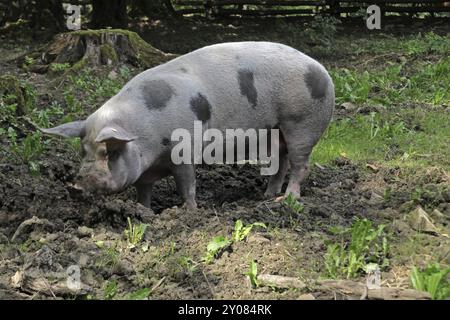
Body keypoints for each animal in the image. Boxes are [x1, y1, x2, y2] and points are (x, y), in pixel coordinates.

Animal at [41, 42, 334, 210]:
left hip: (302, 123)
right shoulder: (143, 170)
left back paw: (288, 200)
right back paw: (266, 196)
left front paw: (190, 212)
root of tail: (322, 70)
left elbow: (186, 184)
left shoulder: (185, 151)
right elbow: (143, 190)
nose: (76, 186)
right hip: (276, 130)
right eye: (83, 151)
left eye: (110, 152)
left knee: (300, 165)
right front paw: (144, 211)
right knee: (281, 162)